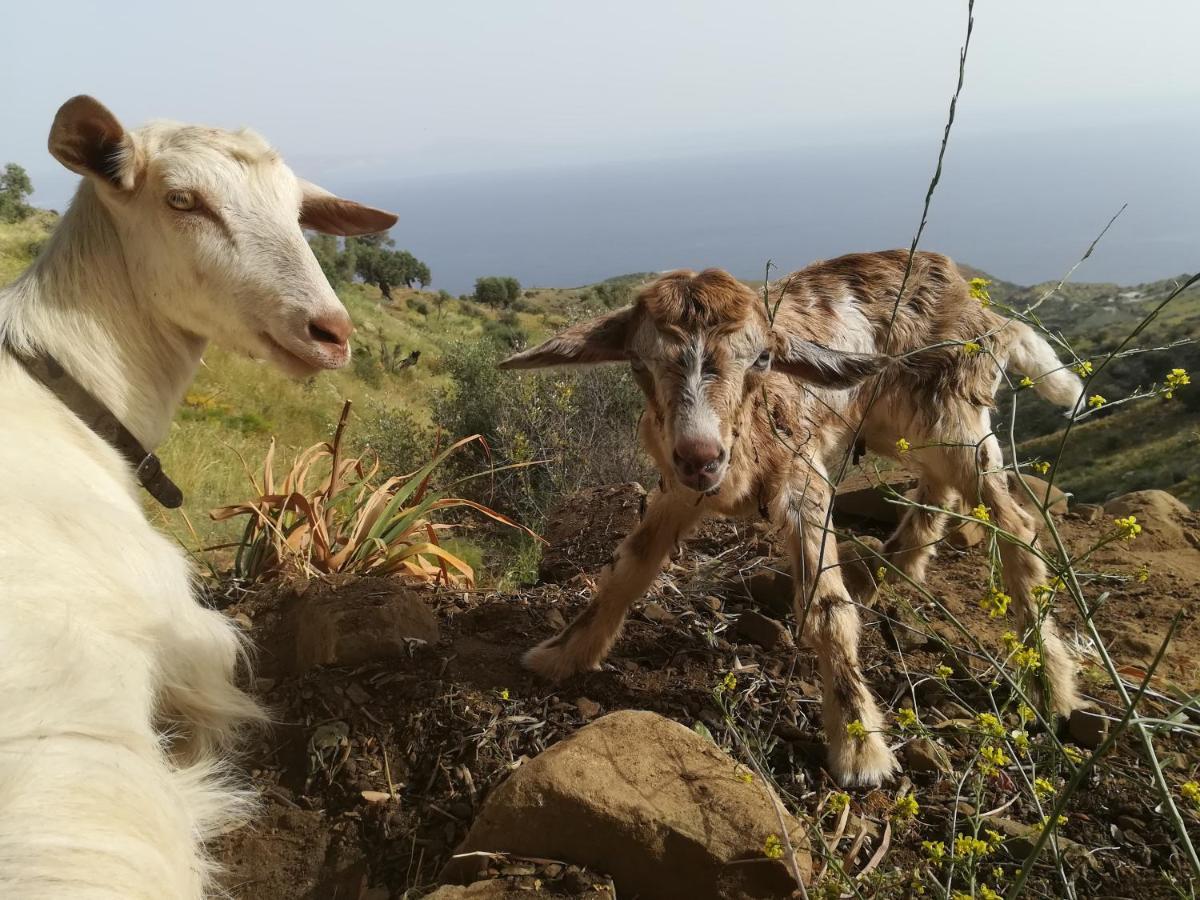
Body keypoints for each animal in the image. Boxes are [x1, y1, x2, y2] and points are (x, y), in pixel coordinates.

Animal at [0, 95, 398, 897]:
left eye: (298, 210)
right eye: (182, 200)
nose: (330, 332)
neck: (66, 400)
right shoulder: (183, 619)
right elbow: (225, 674)